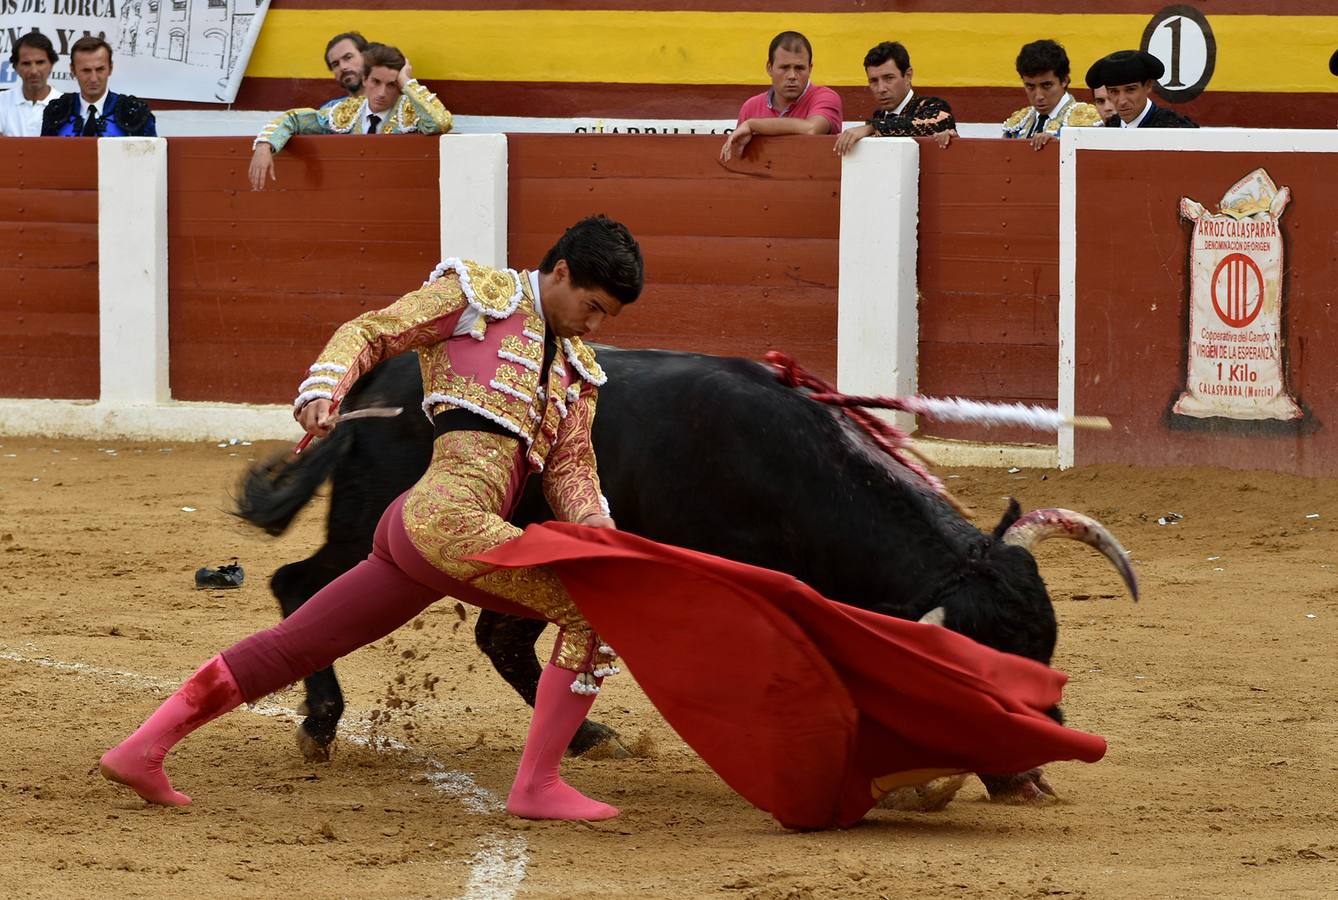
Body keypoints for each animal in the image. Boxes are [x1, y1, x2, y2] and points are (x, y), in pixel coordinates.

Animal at [235, 347, 1134, 802]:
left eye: (1046, 659)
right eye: (977, 678)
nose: (1030, 776)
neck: (790, 473)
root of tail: (374, 388)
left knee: (499, 638)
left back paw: (589, 737)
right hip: (377, 533)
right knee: (300, 588)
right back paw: (320, 725)